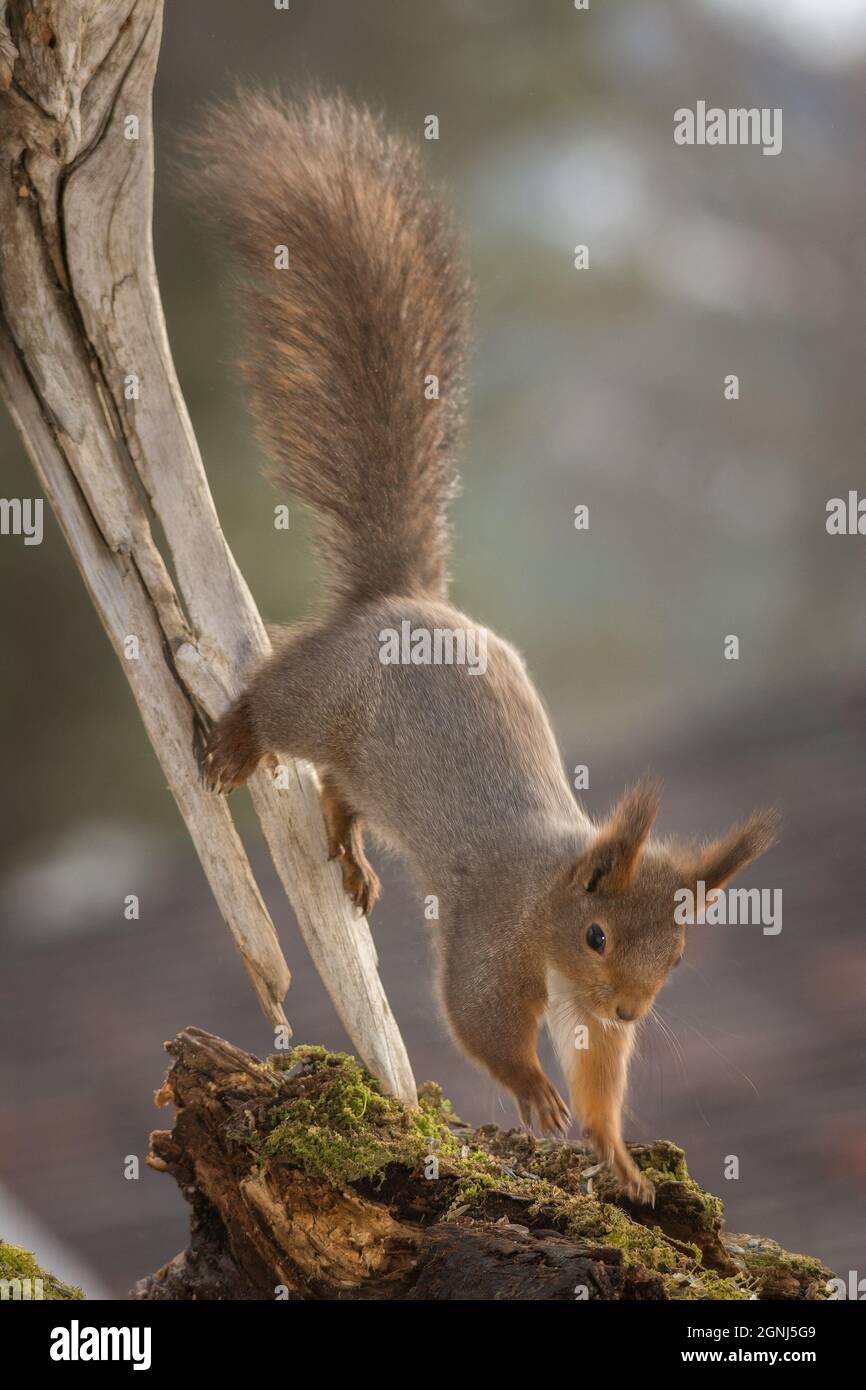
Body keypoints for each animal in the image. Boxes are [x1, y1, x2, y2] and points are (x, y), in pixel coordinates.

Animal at [189, 89, 778, 1202]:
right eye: (596, 933)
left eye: (678, 957)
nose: (632, 1008)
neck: (552, 895)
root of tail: (403, 599)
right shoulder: (490, 933)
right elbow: (478, 1023)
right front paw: (533, 1094)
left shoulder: (589, 1016)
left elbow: (601, 1074)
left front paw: (614, 1156)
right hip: (323, 693)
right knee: (275, 703)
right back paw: (237, 746)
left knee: (341, 791)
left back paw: (349, 856)